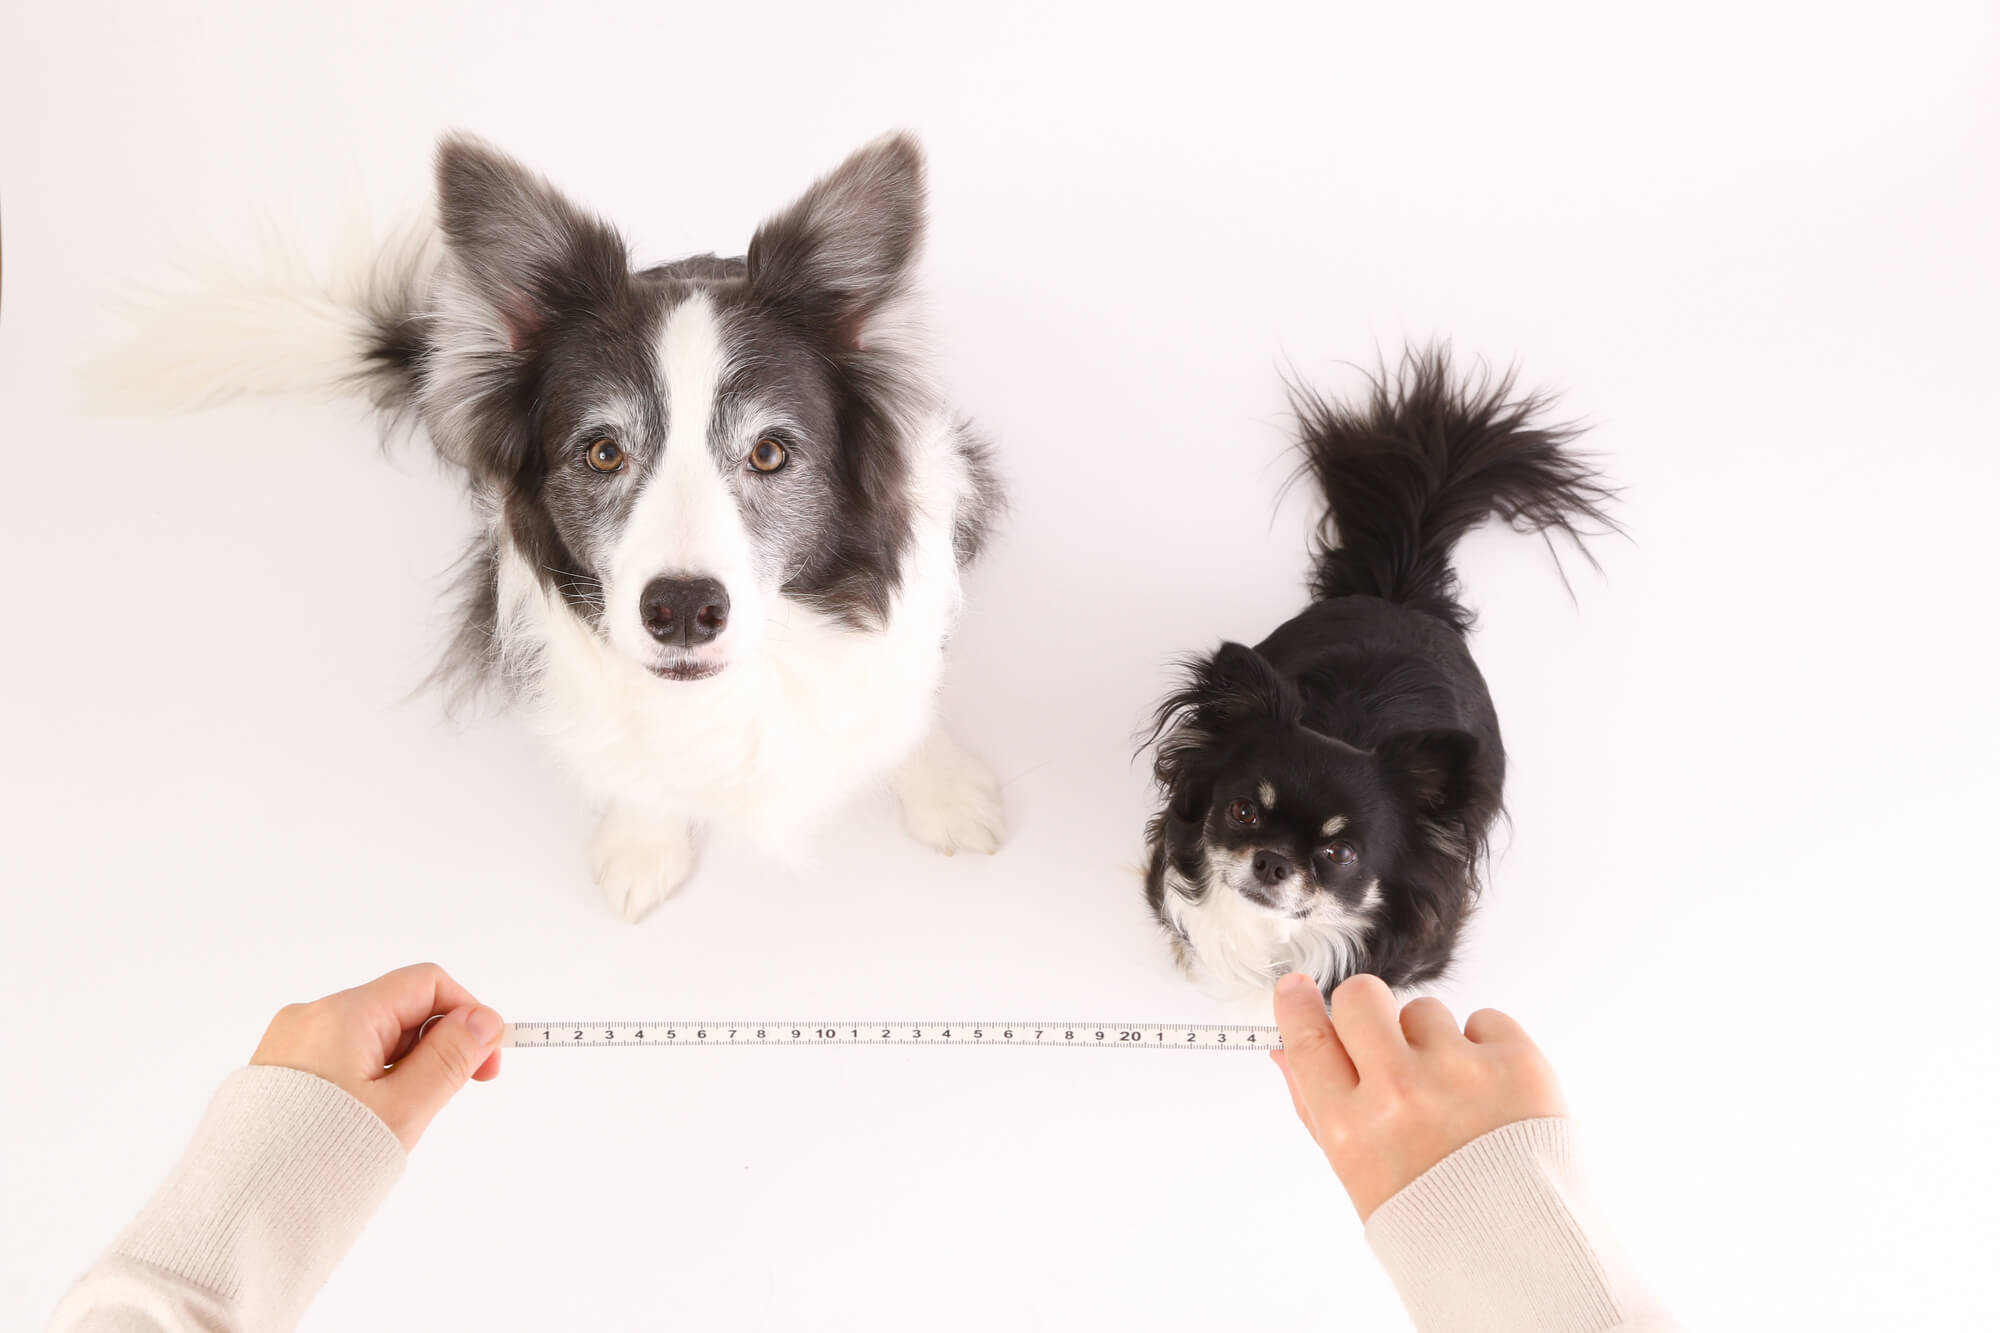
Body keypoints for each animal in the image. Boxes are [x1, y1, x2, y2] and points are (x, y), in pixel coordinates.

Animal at [107, 137, 1008, 924]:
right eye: (603, 452)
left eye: (769, 451)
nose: (684, 610)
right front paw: (644, 841)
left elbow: (907, 696)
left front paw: (944, 789)